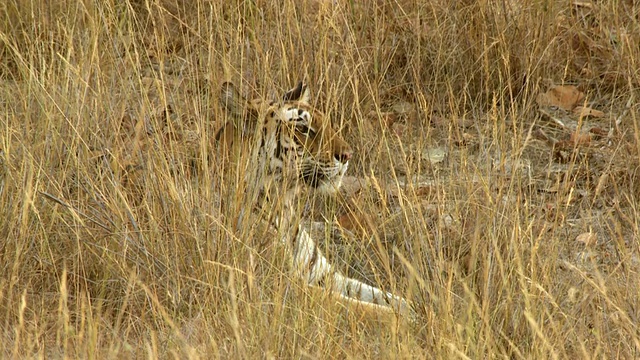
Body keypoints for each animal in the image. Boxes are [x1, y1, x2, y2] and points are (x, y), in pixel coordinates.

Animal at [216, 81, 416, 318]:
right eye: (302, 129)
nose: (348, 155)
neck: (282, 204)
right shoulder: (280, 283)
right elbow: (364, 308)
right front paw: (414, 321)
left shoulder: (323, 273)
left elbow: (383, 296)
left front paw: (422, 307)